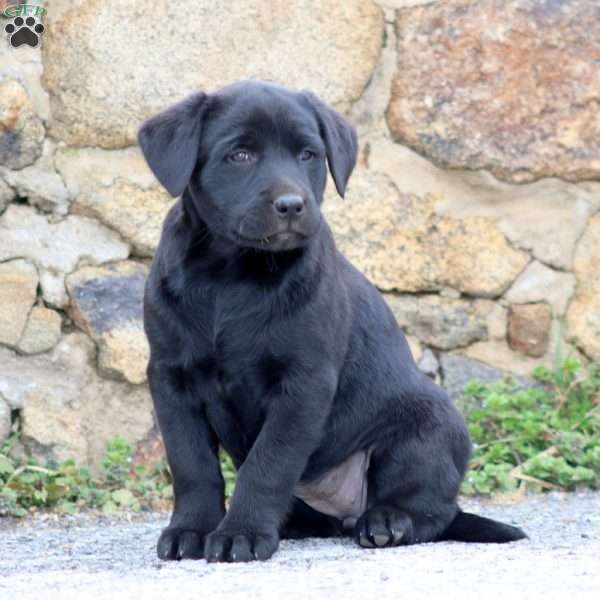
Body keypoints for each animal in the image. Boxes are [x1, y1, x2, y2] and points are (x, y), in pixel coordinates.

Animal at [139, 79, 524, 564]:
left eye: (308, 154)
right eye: (240, 155)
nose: (291, 205)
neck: (232, 274)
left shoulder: (304, 382)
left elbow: (268, 463)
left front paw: (241, 533)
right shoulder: (172, 377)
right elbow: (192, 464)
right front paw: (191, 529)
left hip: (433, 424)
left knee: (432, 510)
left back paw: (386, 523)